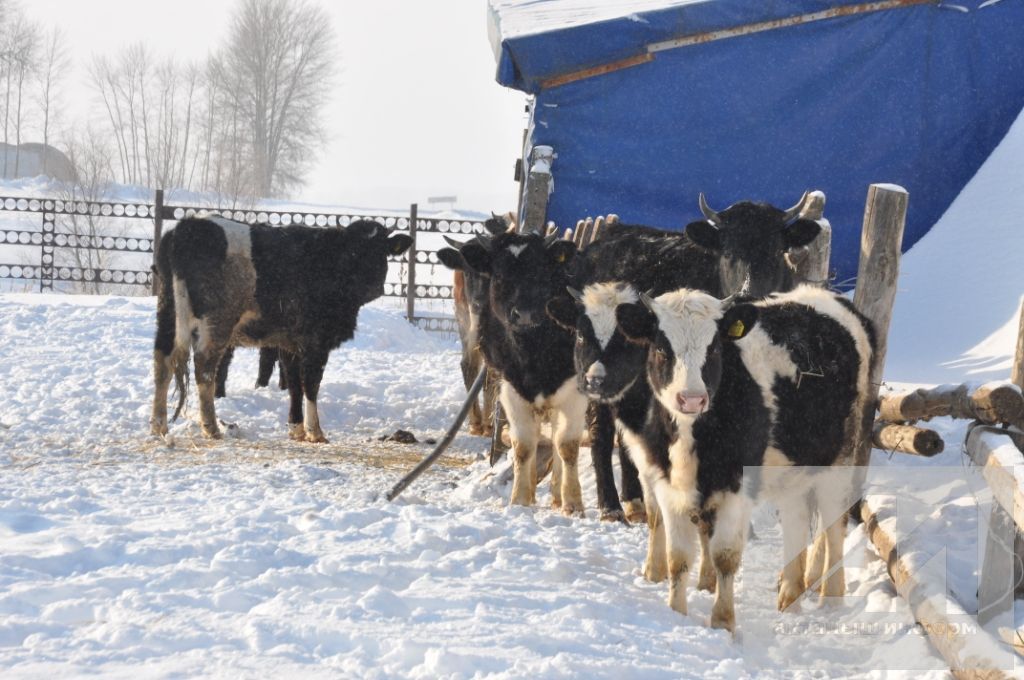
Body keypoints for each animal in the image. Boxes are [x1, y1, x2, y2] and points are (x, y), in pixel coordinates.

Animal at [149, 215, 411, 444]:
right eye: (353, 251)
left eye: (381, 250)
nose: (371, 284)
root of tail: (188, 226)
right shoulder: (316, 341)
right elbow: (311, 384)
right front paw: (315, 431)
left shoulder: (288, 341)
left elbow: (294, 384)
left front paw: (296, 428)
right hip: (216, 322)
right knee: (204, 368)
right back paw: (211, 427)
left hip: (168, 312)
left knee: (162, 361)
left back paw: (159, 425)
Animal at [442, 231, 589, 512]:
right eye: (499, 275)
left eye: (541, 272)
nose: (525, 314)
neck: (533, 352)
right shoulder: (510, 389)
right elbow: (523, 445)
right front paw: (520, 499)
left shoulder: (576, 391)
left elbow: (567, 445)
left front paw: (573, 502)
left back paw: (557, 494)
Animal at [544, 193, 823, 522]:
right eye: (728, 251)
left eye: (777, 250)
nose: (749, 293)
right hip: (597, 374)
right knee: (603, 430)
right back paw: (611, 505)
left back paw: (634, 501)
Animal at [610, 284, 876, 630]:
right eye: (661, 348)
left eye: (713, 348)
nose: (691, 399)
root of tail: (823, 294)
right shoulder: (668, 485)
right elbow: (677, 557)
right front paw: (677, 613)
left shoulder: (739, 486)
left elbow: (725, 555)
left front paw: (723, 621)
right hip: (796, 469)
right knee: (797, 519)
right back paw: (790, 595)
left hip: (840, 462)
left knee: (833, 525)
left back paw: (830, 598)